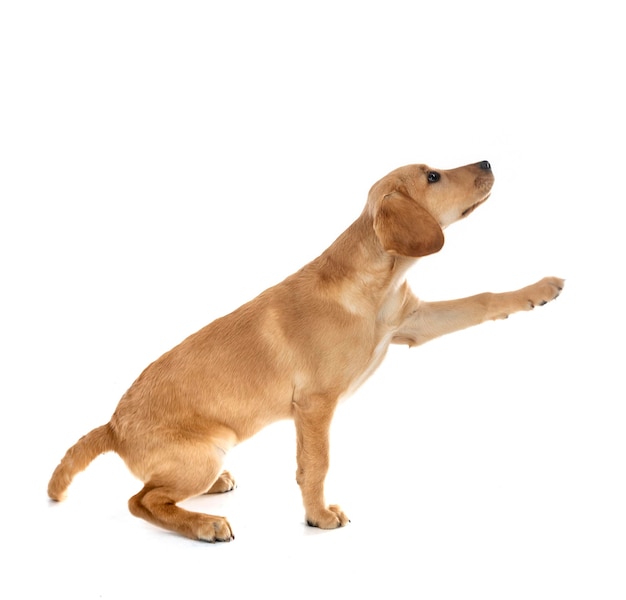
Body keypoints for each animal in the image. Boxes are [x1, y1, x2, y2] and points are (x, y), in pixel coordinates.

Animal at [48, 158, 564, 540]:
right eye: (432, 176)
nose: (488, 161)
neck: (373, 287)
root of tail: (113, 427)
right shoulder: (316, 404)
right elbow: (316, 464)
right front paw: (318, 517)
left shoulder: (415, 324)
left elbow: (483, 300)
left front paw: (540, 289)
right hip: (207, 450)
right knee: (142, 501)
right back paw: (204, 525)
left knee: (156, 493)